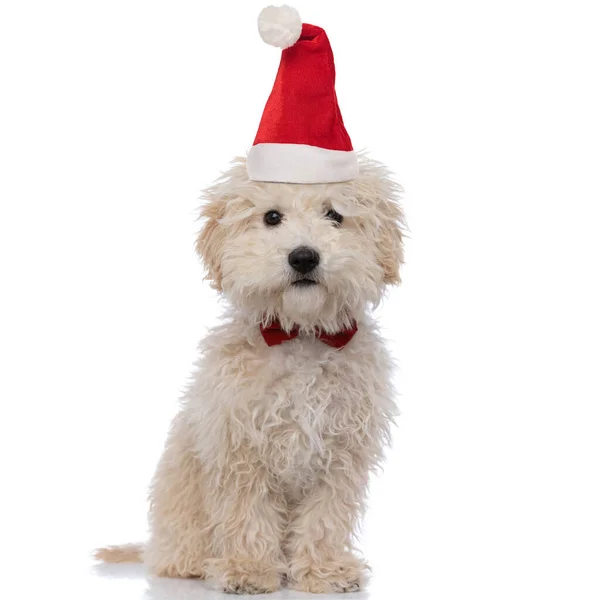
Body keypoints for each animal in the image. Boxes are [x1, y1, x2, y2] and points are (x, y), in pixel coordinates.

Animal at [96, 154, 406, 592]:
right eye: (272, 216)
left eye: (335, 214)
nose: (303, 257)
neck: (300, 335)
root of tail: (154, 549)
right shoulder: (239, 448)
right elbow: (247, 512)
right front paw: (248, 569)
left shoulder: (341, 453)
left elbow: (325, 516)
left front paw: (324, 569)